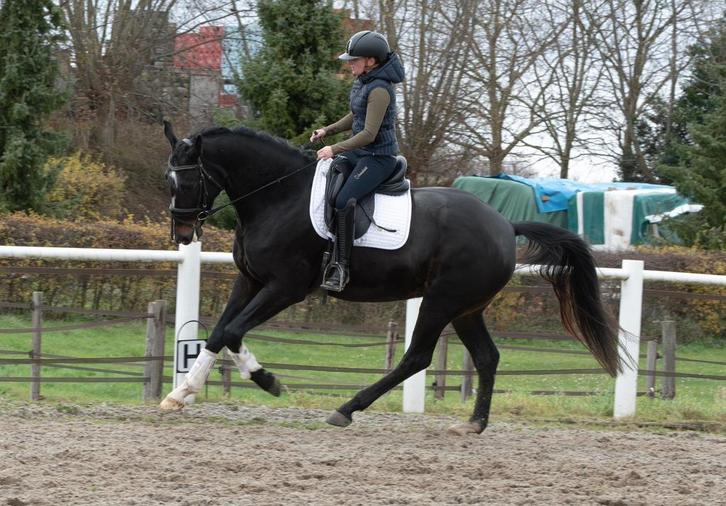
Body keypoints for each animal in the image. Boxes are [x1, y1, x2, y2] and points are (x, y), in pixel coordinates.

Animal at [159, 121, 621, 434]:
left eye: (189, 179)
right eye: (169, 179)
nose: (181, 233)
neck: (278, 196)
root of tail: (506, 225)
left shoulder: (284, 288)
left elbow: (234, 331)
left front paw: (266, 380)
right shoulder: (251, 281)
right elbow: (220, 332)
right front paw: (180, 394)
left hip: (442, 301)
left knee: (417, 357)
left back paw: (347, 408)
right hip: (467, 309)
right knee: (487, 357)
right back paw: (473, 423)